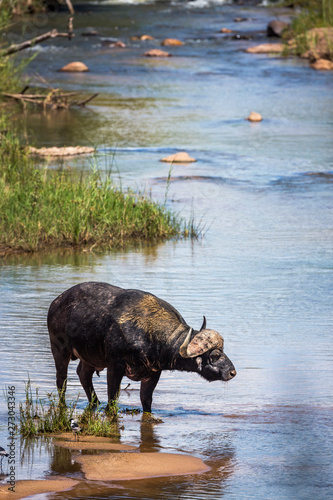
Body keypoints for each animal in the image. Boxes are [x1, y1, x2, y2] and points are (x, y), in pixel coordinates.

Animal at [48, 284, 236, 412]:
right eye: (215, 355)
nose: (232, 372)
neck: (150, 334)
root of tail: (56, 303)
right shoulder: (115, 367)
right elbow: (113, 397)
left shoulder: (153, 373)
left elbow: (146, 400)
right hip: (59, 350)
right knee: (61, 380)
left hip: (90, 356)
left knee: (83, 374)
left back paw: (95, 403)